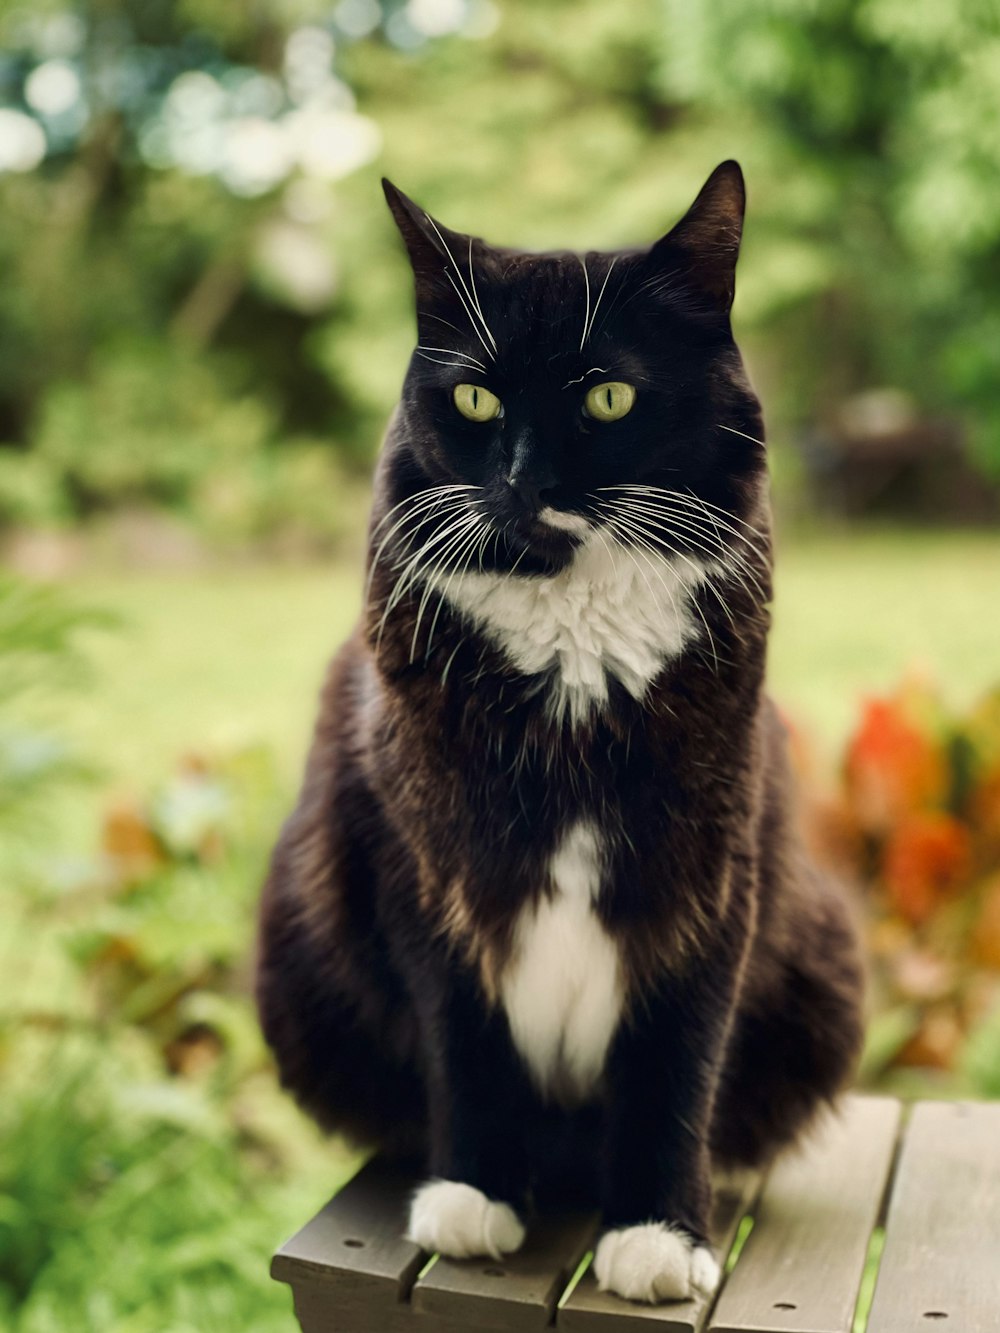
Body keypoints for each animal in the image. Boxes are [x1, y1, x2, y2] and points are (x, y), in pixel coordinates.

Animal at [258, 163, 869, 1301]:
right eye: (475, 397)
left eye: (607, 396)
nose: (527, 481)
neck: (573, 661)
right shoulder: (425, 866)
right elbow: (464, 1035)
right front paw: (475, 1195)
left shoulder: (711, 864)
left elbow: (677, 1053)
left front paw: (659, 1232)